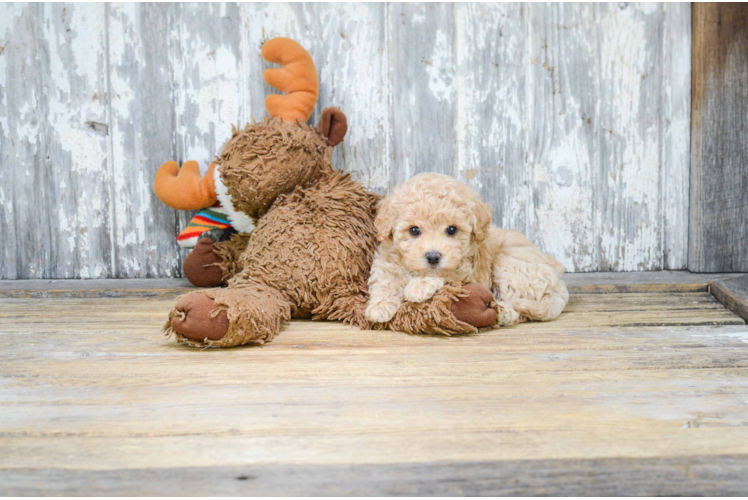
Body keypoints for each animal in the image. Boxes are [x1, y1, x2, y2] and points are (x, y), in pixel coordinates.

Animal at [366, 174, 568, 326]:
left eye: (451, 230)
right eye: (414, 230)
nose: (433, 257)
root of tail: (558, 282)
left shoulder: (464, 270)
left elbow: (444, 274)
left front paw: (418, 286)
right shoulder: (387, 260)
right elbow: (386, 281)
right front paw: (379, 307)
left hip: (508, 263)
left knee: (518, 307)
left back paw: (502, 312)